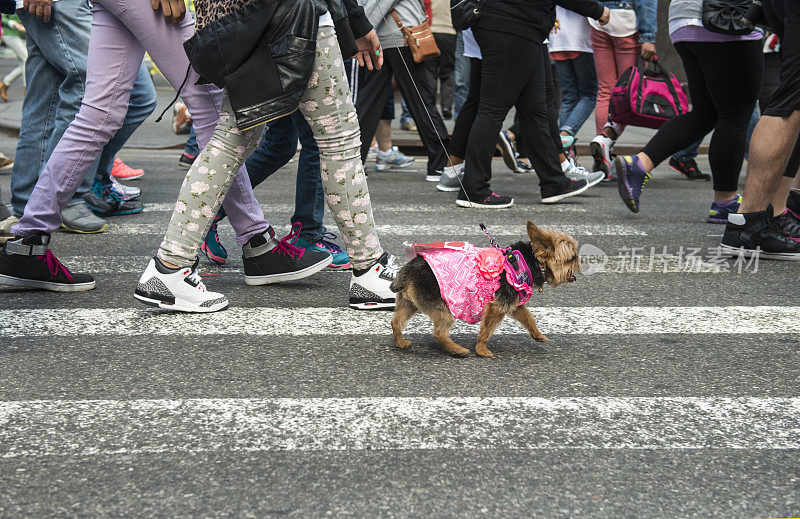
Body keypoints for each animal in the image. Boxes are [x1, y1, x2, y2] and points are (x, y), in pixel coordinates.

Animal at [390, 221, 580, 360]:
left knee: (396, 321)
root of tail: (406, 271)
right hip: (443, 307)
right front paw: (481, 349)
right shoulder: (498, 305)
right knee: (439, 332)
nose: (581, 263)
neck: (528, 261)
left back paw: (400, 342)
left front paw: (537, 334)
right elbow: (487, 329)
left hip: (410, 302)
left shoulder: (513, 303)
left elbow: (528, 317)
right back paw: (457, 350)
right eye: (572, 258)